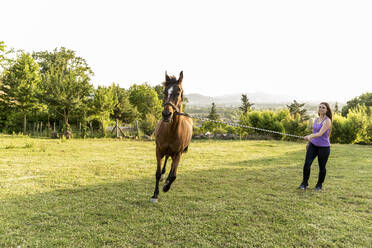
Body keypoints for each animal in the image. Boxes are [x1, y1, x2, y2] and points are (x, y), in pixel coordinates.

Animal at [150, 70, 193, 202]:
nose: (166, 114)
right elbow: (158, 173)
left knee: (172, 167)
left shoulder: (178, 153)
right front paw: (155, 194)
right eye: (164, 92)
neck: (171, 131)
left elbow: (173, 175)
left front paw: (166, 187)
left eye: (178, 92)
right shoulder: (158, 151)